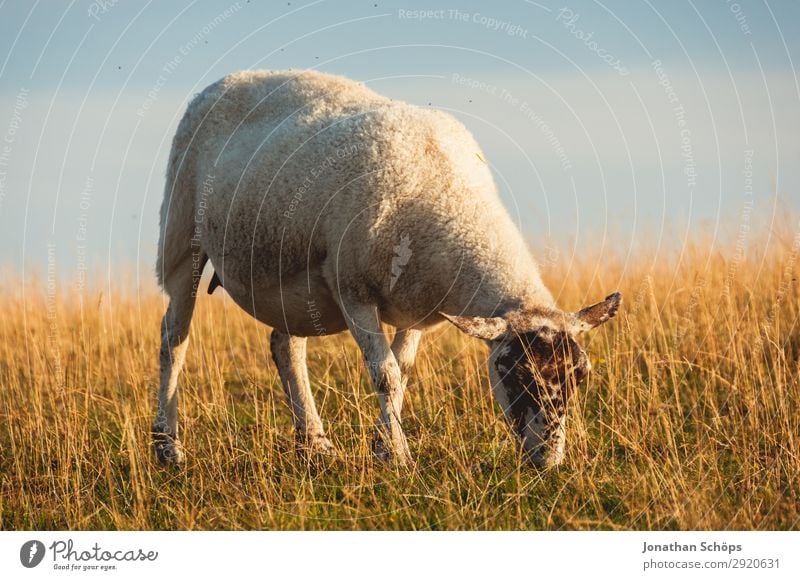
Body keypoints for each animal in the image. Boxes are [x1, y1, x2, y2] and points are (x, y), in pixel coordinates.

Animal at [155, 69, 620, 466]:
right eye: (517, 373)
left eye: (581, 376)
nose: (548, 460)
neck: (451, 202)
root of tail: (229, 79)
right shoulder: (352, 290)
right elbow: (385, 376)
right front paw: (397, 456)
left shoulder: (419, 308)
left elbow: (404, 372)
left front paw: (383, 446)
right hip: (181, 232)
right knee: (173, 338)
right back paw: (168, 446)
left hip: (290, 270)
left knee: (285, 346)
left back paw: (314, 442)